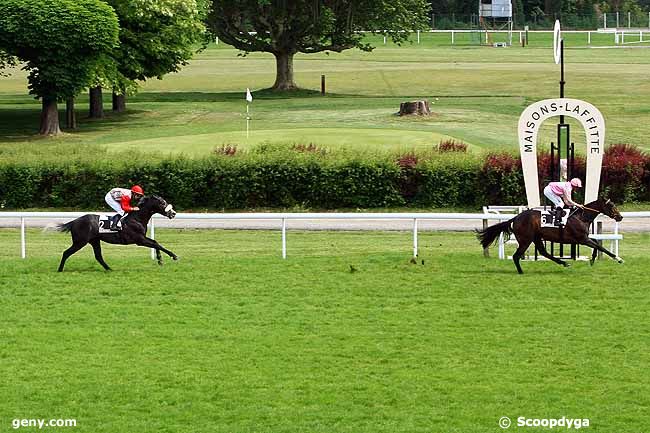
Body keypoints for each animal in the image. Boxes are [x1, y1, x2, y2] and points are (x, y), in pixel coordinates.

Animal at [476, 198, 624, 274]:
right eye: (611, 206)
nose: (620, 217)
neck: (581, 217)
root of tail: (515, 218)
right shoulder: (582, 239)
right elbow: (600, 246)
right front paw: (618, 259)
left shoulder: (583, 238)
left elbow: (597, 243)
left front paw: (592, 259)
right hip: (526, 240)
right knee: (516, 256)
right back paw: (521, 271)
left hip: (536, 238)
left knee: (543, 252)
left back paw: (564, 262)